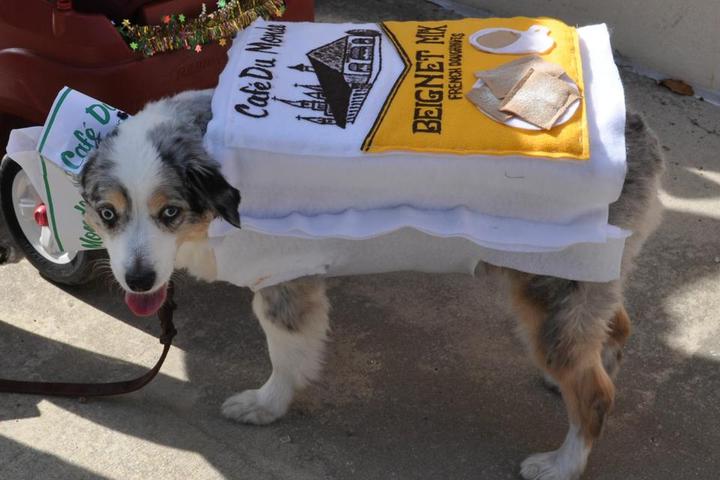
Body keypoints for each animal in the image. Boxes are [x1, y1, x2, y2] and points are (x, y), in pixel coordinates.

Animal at [77, 90, 664, 480]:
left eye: (169, 213)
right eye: (107, 215)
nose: (139, 280)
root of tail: (637, 129)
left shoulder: (286, 281)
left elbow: (285, 357)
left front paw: (267, 406)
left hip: (549, 290)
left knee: (596, 395)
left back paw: (562, 463)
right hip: (588, 283)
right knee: (616, 328)